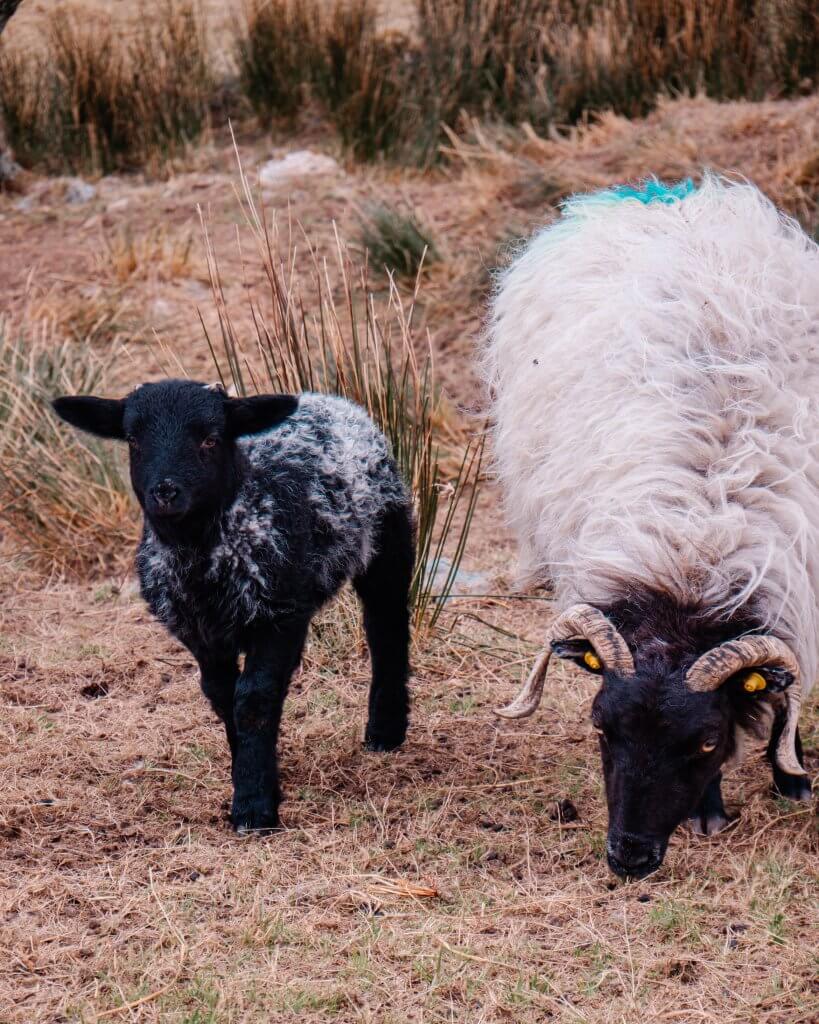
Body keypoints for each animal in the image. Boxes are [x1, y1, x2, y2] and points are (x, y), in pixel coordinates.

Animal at [53, 380, 414, 833]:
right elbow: (222, 696)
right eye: (133, 440)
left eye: (210, 439)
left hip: (387, 535)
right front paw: (254, 775)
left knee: (387, 627)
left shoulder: (281, 615)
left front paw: (254, 807)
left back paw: (385, 731)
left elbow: (255, 699)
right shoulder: (199, 633)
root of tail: (325, 397)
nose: (165, 492)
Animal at [485, 175, 818, 878]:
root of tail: (663, 193)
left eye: (708, 741)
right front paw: (713, 811)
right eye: (601, 727)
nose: (628, 856)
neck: (696, 547)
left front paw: (790, 776)